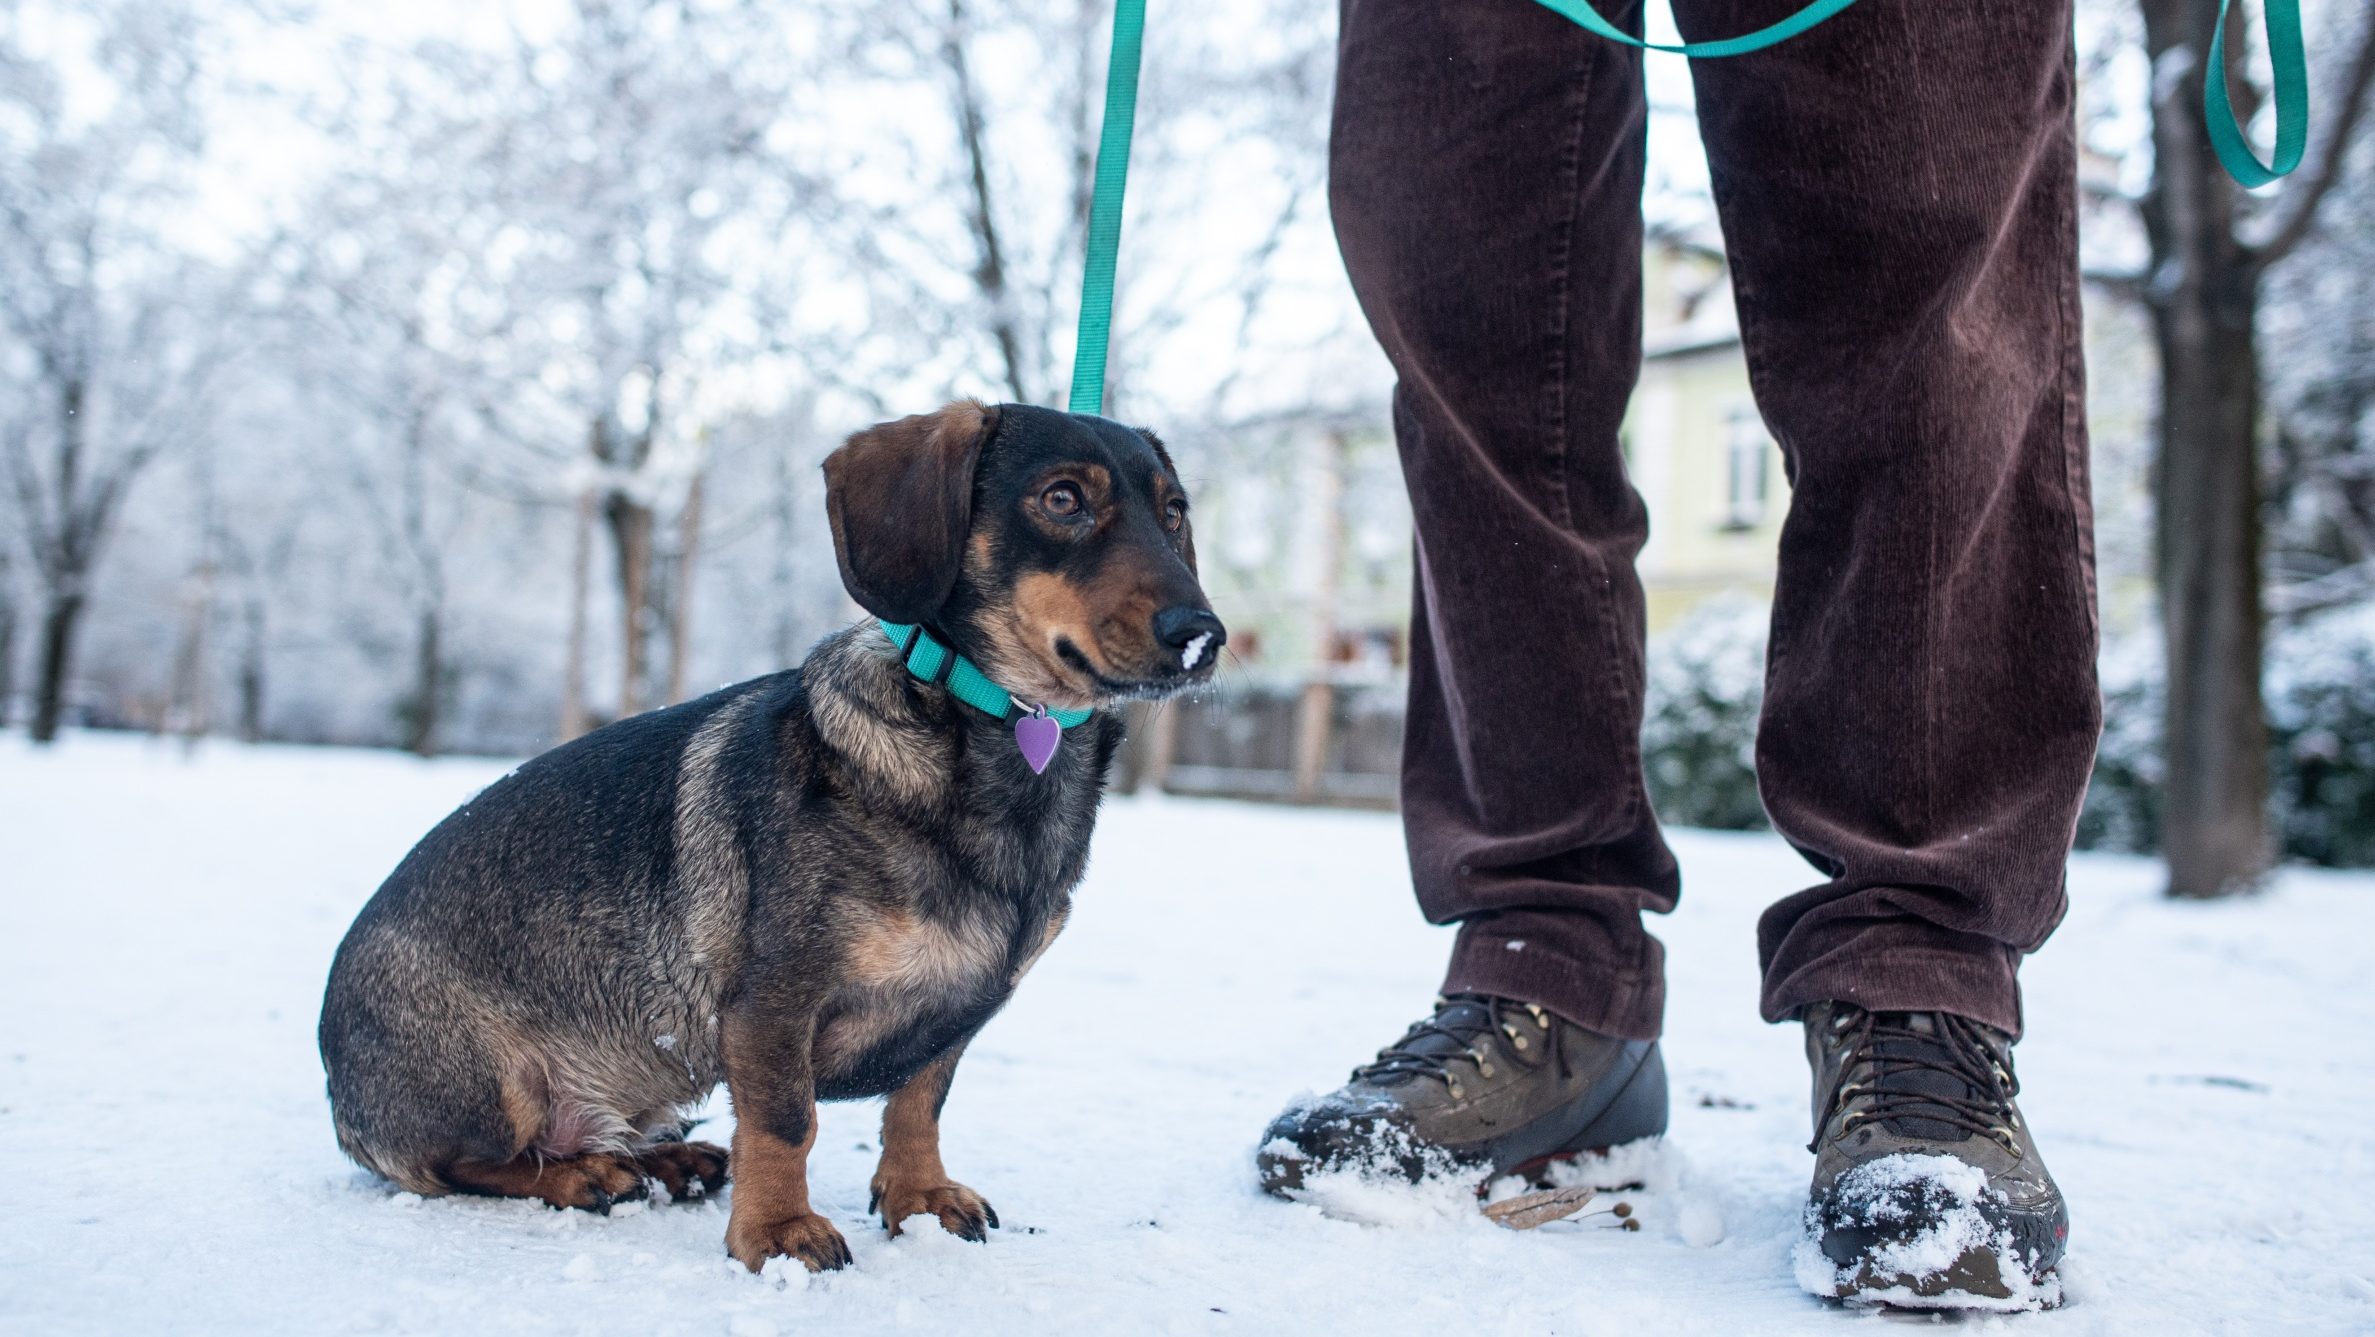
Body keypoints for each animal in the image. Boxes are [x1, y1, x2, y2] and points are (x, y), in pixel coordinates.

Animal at [320, 401, 1225, 1272]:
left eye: (1173, 511)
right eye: (1062, 499)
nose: (1202, 635)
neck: (997, 739)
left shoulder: (953, 1018)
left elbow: (919, 1103)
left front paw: (919, 1197)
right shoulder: (774, 1003)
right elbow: (788, 1122)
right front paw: (779, 1232)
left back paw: (667, 1161)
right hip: (493, 1087)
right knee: (460, 1165)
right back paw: (583, 1173)